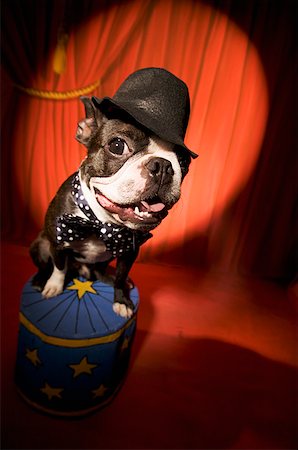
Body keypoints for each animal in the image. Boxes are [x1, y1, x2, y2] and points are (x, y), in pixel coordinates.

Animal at [29, 67, 198, 320]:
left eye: (184, 161)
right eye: (117, 146)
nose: (162, 165)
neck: (100, 222)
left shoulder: (128, 253)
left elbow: (120, 276)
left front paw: (121, 299)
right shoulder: (57, 240)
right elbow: (59, 267)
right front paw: (54, 286)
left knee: (101, 272)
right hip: (40, 244)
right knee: (47, 265)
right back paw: (41, 280)